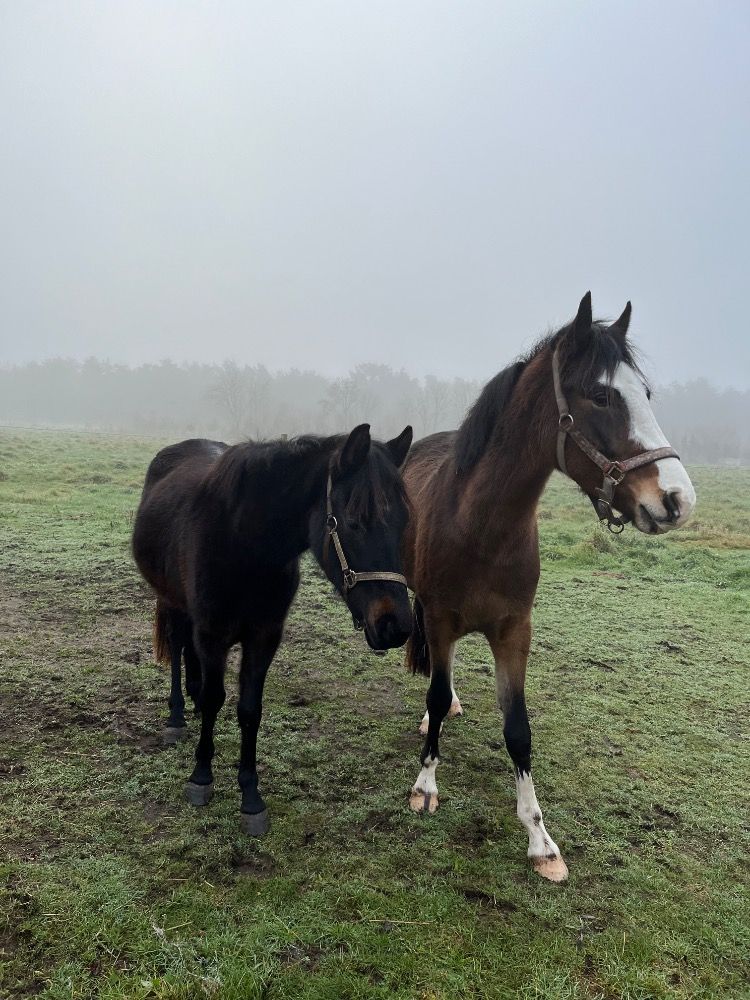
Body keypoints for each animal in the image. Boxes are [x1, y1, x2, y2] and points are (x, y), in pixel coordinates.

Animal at [132, 423, 413, 835]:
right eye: (354, 521)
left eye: (404, 521)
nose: (396, 625)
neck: (243, 543)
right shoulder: (213, 633)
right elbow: (216, 698)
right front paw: (201, 776)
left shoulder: (263, 637)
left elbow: (250, 710)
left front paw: (250, 797)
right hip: (172, 601)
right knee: (179, 644)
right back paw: (178, 716)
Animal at [402, 292, 696, 881]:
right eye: (602, 395)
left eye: (646, 393)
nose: (677, 499)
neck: (481, 525)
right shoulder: (441, 617)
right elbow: (435, 692)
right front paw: (425, 786)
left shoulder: (515, 630)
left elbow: (518, 728)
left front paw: (540, 839)